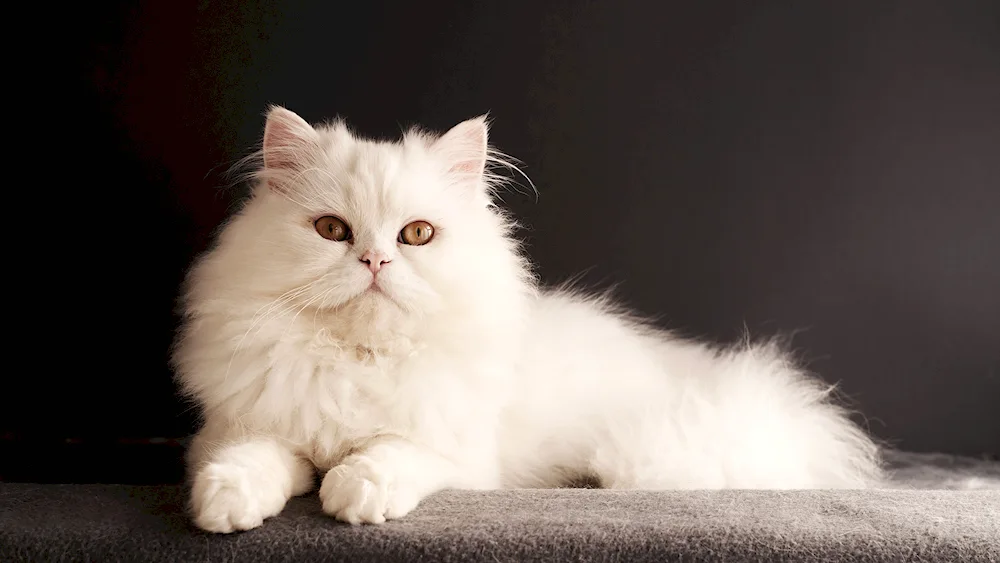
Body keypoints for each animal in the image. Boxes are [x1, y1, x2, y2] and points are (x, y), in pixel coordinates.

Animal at [172, 106, 884, 532]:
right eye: (331, 231)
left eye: (417, 234)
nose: (374, 260)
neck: (360, 361)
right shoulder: (238, 428)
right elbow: (252, 460)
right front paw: (225, 506)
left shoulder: (458, 454)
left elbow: (391, 453)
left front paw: (354, 494)